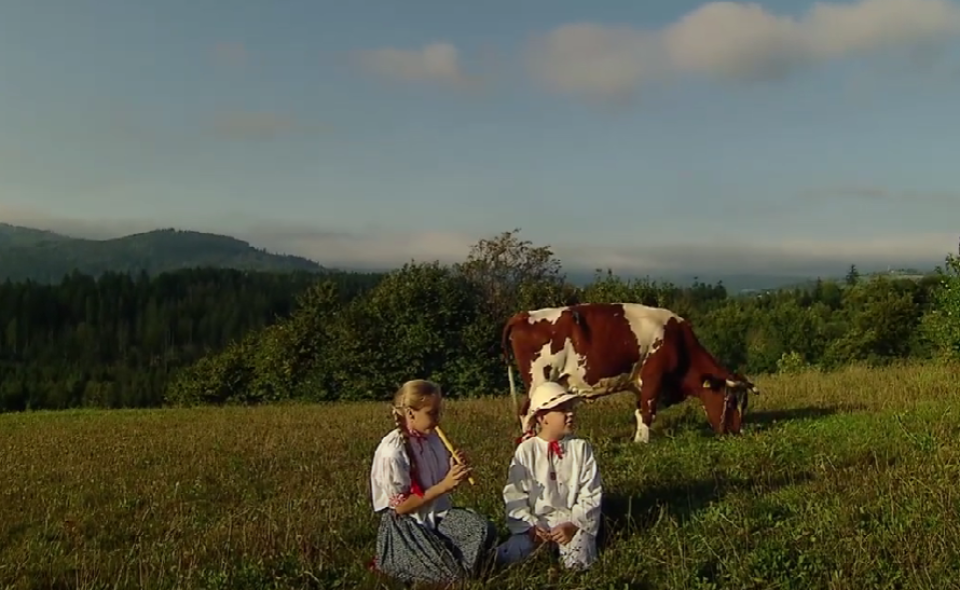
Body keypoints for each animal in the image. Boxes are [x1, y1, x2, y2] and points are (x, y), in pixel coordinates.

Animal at [498, 302, 760, 442]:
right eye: (730, 401)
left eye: (744, 404)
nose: (737, 432)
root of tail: (525, 315)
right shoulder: (653, 377)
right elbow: (647, 410)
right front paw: (642, 442)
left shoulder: (639, 384)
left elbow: (639, 411)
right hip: (540, 379)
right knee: (527, 412)